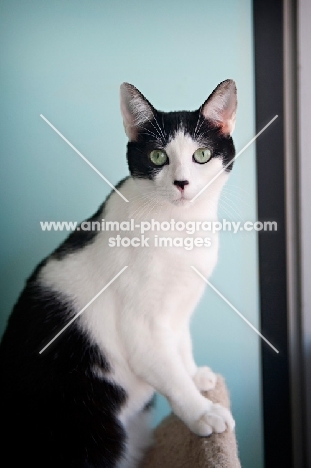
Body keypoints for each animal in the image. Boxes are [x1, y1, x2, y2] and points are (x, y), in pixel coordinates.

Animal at [0, 80, 238, 468]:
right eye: (158, 157)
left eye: (201, 155)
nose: (182, 183)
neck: (180, 226)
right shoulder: (141, 327)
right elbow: (168, 372)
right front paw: (201, 411)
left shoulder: (178, 308)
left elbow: (181, 345)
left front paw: (194, 375)